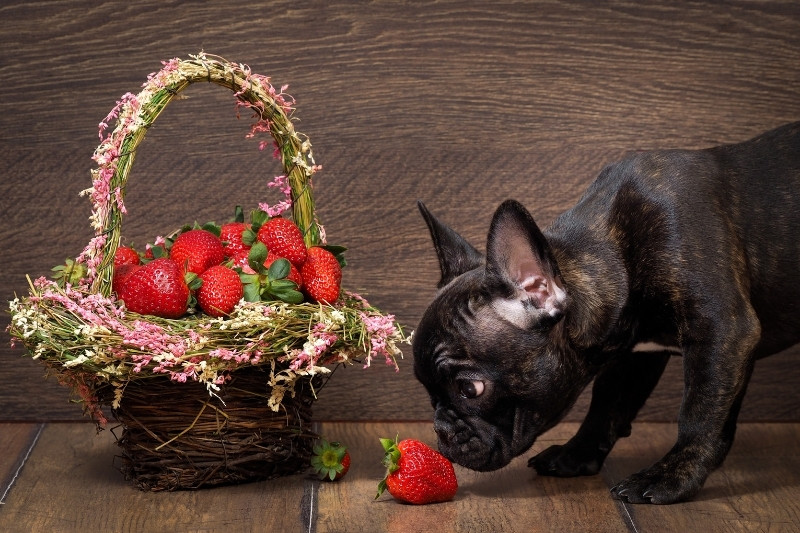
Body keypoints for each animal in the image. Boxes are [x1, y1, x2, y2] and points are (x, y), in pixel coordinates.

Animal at [412, 120, 800, 502]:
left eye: (470, 389)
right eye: (426, 389)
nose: (441, 430)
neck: (614, 252)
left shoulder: (724, 334)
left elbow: (700, 411)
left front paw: (671, 477)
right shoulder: (636, 356)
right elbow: (608, 405)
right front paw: (575, 455)